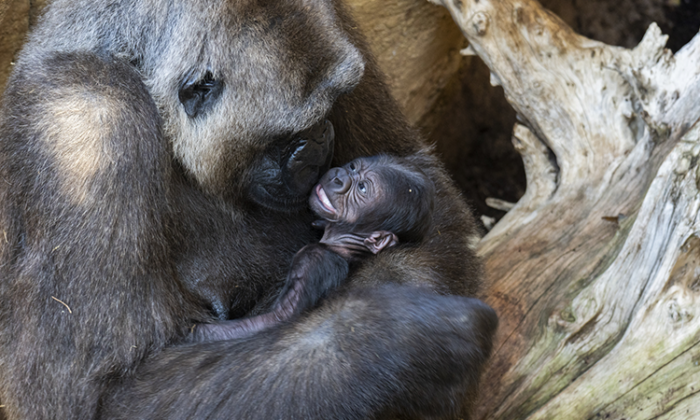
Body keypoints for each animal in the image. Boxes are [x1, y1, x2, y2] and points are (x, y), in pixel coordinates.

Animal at [191, 155, 432, 342]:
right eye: (353, 167)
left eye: (362, 188)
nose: (339, 177)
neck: (344, 244)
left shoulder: (313, 260)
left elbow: (280, 318)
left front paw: (196, 334)